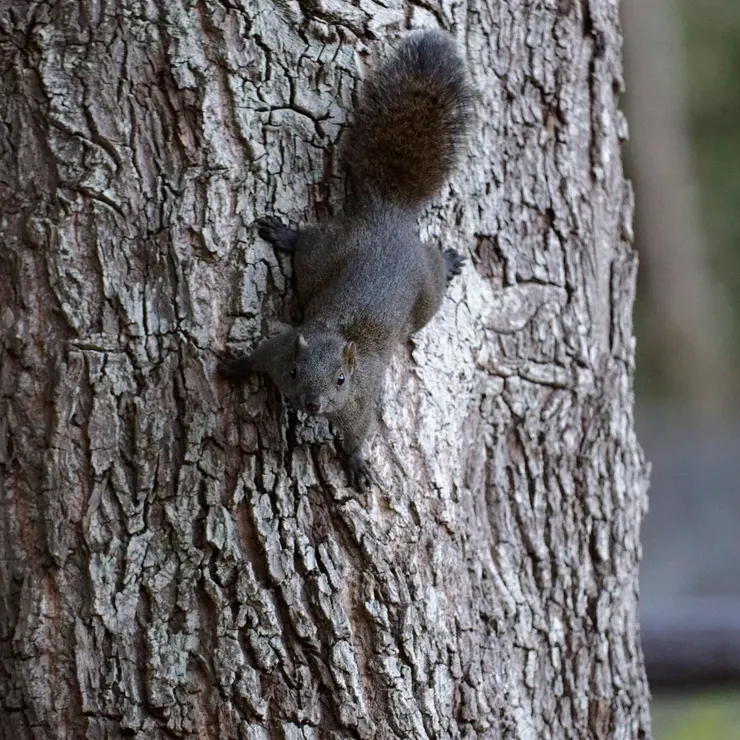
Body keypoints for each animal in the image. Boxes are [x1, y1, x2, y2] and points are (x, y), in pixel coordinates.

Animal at [220, 31, 474, 488]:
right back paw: (284, 234)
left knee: (430, 272)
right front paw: (234, 367)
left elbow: (358, 433)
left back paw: (447, 261)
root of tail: (387, 216)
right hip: (325, 252)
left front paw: (357, 463)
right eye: (295, 371)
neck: (334, 335)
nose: (312, 404)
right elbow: (256, 356)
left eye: (341, 379)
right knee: (307, 243)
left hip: (423, 293)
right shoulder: (279, 349)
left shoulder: (361, 397)